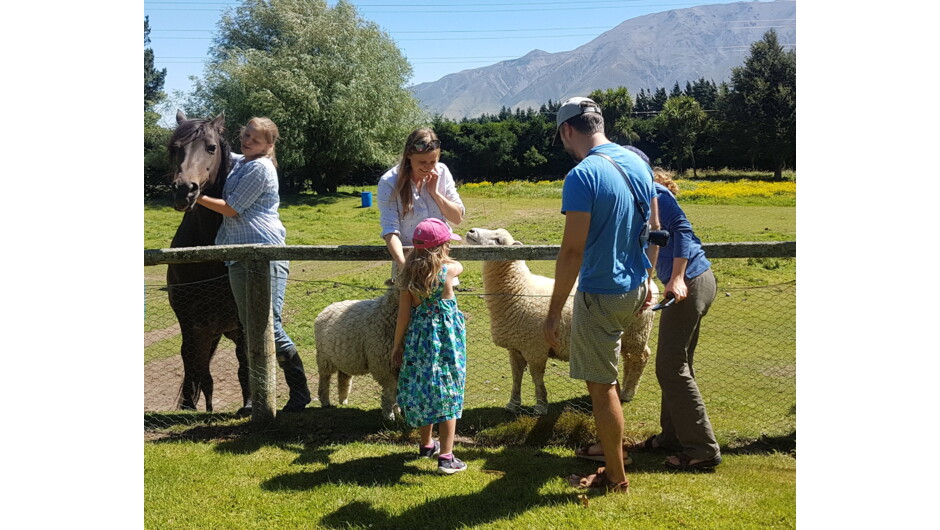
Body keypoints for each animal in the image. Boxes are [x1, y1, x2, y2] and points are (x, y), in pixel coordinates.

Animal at [314, 288, 403, 421]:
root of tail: (328, 307)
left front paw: (397, 410)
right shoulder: (384, 366)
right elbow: (390, 391)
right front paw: (389, 415)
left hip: (344, 357)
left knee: (343, 377)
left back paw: (343, 400)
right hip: (324, 358)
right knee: (325, 378)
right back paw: (325, 401)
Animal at [464, 227, 658, 415]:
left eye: (499, 240)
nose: (471, 231)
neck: (519, 288)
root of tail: (651, 286)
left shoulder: (535, 348)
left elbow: (536, 377)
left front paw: (541, 406)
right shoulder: (516, 347)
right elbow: (516, 376)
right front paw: (513, 404)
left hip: (636, 333)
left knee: (640, 358)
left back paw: (628, 393)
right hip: (628, 336)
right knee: (629, 359)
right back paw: (624, 388)